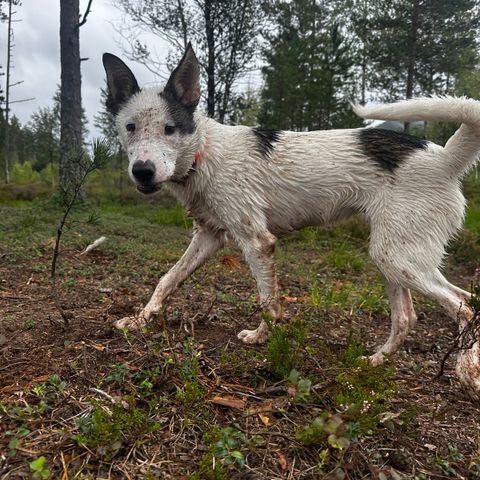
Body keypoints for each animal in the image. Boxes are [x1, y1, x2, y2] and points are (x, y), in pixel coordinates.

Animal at [103, 44, 480, 398]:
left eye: (170, 129)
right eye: (130, 127)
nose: (142, 171)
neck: (204, 152)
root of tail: (446, 157)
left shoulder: (257, 242)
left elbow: (269, 303)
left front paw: (262, 339)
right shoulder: (208, 237)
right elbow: (167, 279)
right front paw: (141, 319)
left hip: (398, 259)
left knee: (465, 304)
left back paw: (466, 371)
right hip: (391, 257)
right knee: (405, 318)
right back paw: (375, 361)